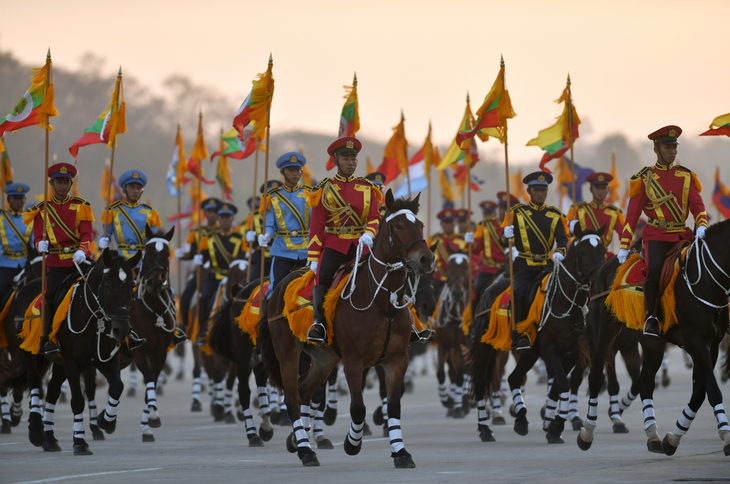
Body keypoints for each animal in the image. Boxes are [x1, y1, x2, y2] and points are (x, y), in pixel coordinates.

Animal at [255, 191, 430, 466]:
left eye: (420, 225)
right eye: (399, 226)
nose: (426, 259)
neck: (382, 301)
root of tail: (279, 285)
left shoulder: (397, 359)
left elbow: (394, 406)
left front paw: (401, 452)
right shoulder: (353, 362)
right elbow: (357, 408)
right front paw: (352, 443)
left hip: (323, 359)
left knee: (305, 390)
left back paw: (298, 440)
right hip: (288, 355)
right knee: (292, 398)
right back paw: (305, 450)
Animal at [576, 221, 728, 456]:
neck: (705, 280)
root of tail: (603, 266)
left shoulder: (711, 345)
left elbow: (699, 392)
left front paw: (672, 439)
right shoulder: (697, 343)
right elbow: (712, 390)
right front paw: (726, 435)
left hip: (652, 343)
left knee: (645, 383)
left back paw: (653, 435)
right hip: (603, 334)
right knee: (595, 378)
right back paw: (587, 432)